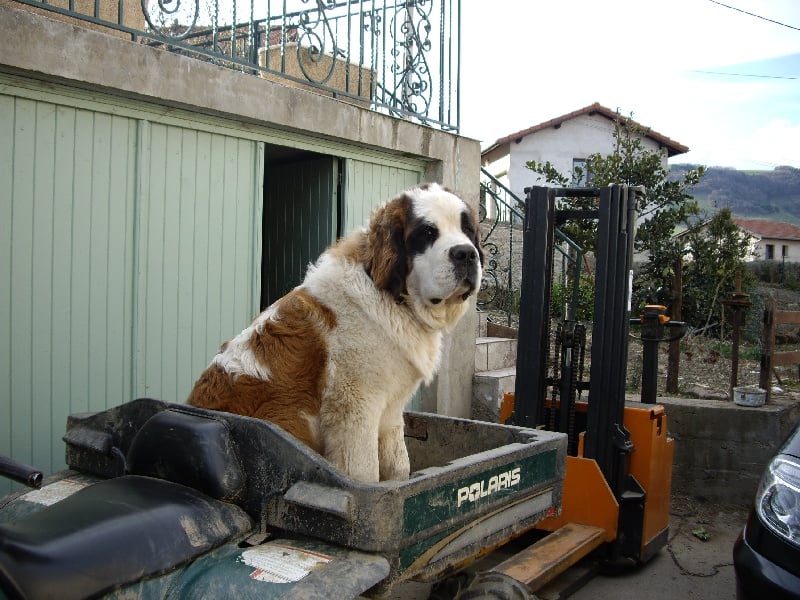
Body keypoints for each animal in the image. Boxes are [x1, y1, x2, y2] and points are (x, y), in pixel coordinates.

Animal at [188, 183, 482, 482]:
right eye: (427, 233)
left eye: (468, 230)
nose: (466, 253)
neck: (390, 296)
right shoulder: (356, 409)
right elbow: (364, 472)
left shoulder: (390, 410)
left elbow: (399, 465)